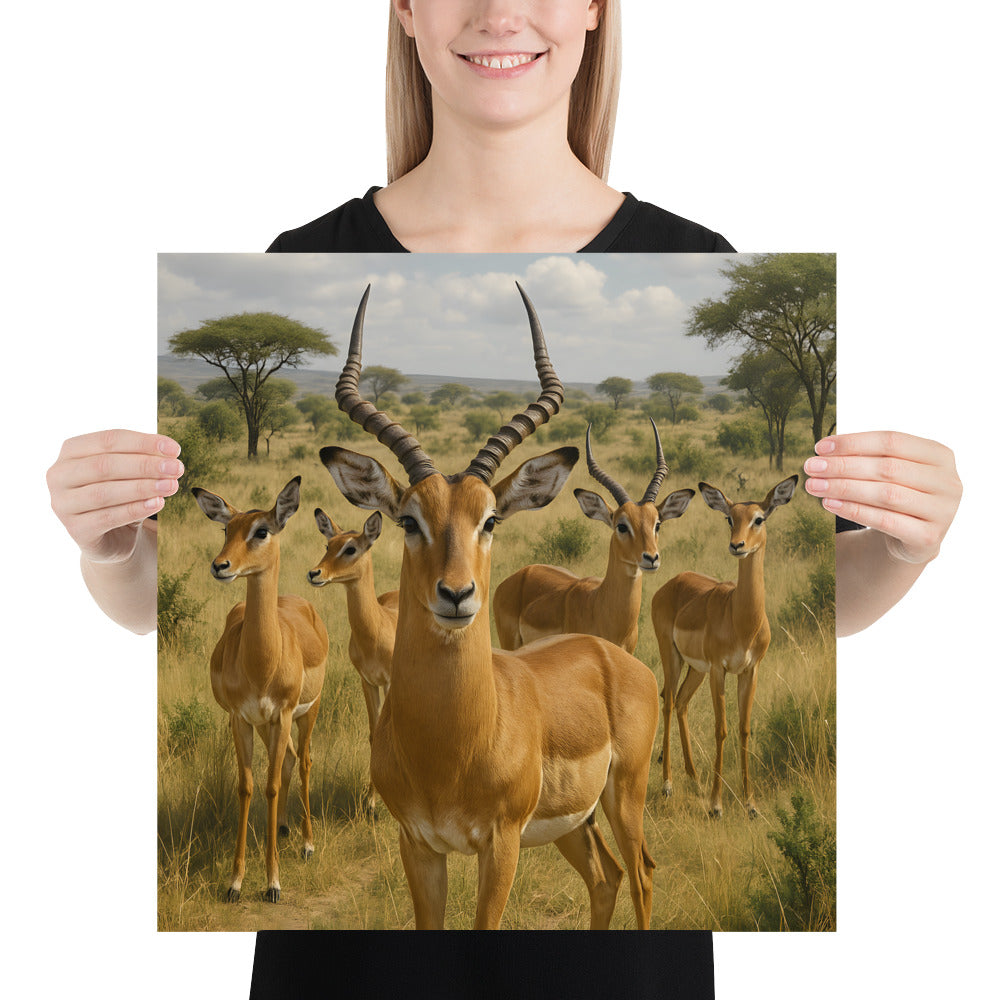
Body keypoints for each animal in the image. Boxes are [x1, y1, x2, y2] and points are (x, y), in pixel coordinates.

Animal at [192, 476, 328, 902]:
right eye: (226, 529)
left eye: (261, 530)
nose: (221, 566)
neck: (261, 663)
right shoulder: (241, 719)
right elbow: (248, 787)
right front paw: (235, 883)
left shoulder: (282, 714)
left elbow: (269, 786)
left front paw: (272, 883)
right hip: (269, 726)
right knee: (287, 761)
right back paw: (282, 828)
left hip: (306, 714)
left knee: (303, 761)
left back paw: (307, 844)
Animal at [307, 507, 398, 813]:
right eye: (328, 545)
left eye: (351, 548)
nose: (315, 573)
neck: (377, 629)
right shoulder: (367, 681)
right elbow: (373, 734)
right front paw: (371, 801)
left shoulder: (390, 682)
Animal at [320, 284, 659, 929]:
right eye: (409, 520)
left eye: (491, 519)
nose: (456, 594)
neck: (451, 748)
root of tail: (615, 656)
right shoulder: (418, 845)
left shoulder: (500, 845)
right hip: (574, 823)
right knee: (606, 878)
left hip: (625, 795)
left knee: (643, 876)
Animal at [652, 476, 798, 818]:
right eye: (730, 518)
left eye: (759, 518)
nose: (737, 546)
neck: (741, 620)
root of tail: (669, 585)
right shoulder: (720, 669)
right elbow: (721, 729)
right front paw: (716, 805)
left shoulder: (750, 670)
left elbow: (744, 729)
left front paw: (751, 805)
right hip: (673, 657)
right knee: (667, 701)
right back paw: (668, 785)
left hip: (696, 669)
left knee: (681, 702)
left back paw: (694, 780)